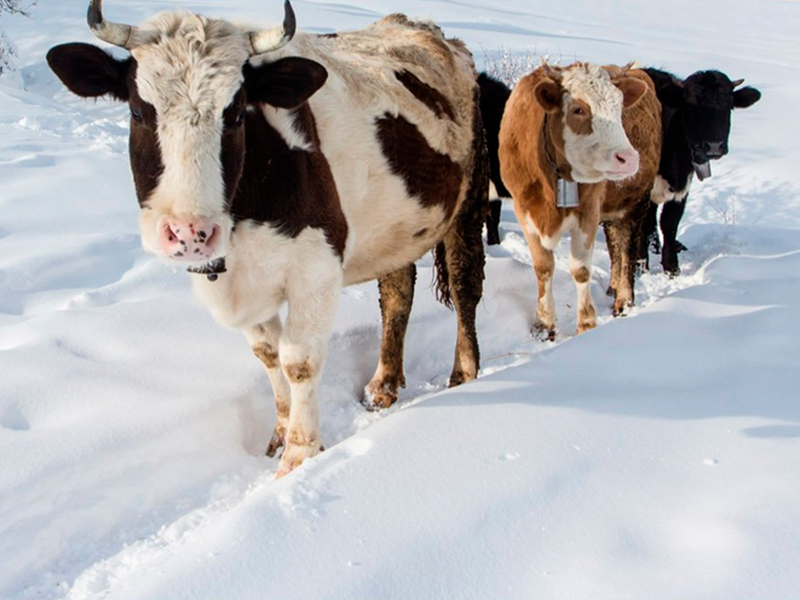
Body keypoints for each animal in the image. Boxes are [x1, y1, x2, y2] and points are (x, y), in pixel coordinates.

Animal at [50, 1, 490, 478]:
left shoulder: (316, 270)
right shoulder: (239, 278)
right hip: (397, 227)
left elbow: (299, 360)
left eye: (237, 112)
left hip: (468, 201)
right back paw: (382, 385)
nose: (189, 232)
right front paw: (279, 432)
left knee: (464, 287)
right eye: (137, 112)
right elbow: (268, 354)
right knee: (397, 295)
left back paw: (464, 374)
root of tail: (427, 30)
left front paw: (298, 456)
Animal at [500, 62, 664, 340]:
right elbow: (543, 267)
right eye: (578, 109)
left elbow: (580, 269)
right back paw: (612, 288)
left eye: (620, 107)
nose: (628, 158)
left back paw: (624, 299)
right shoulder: (524, 211)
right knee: (615, 245)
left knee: (627, 250)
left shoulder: (589, 212)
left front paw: (586, 323)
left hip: (635, 204)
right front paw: (543, 323)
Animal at [640, 69, 760, 276]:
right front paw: (640, 268)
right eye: (689, 106)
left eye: (730, 106)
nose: (713, 146)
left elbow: (669, 223)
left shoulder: (681, 190)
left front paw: (671, 267)